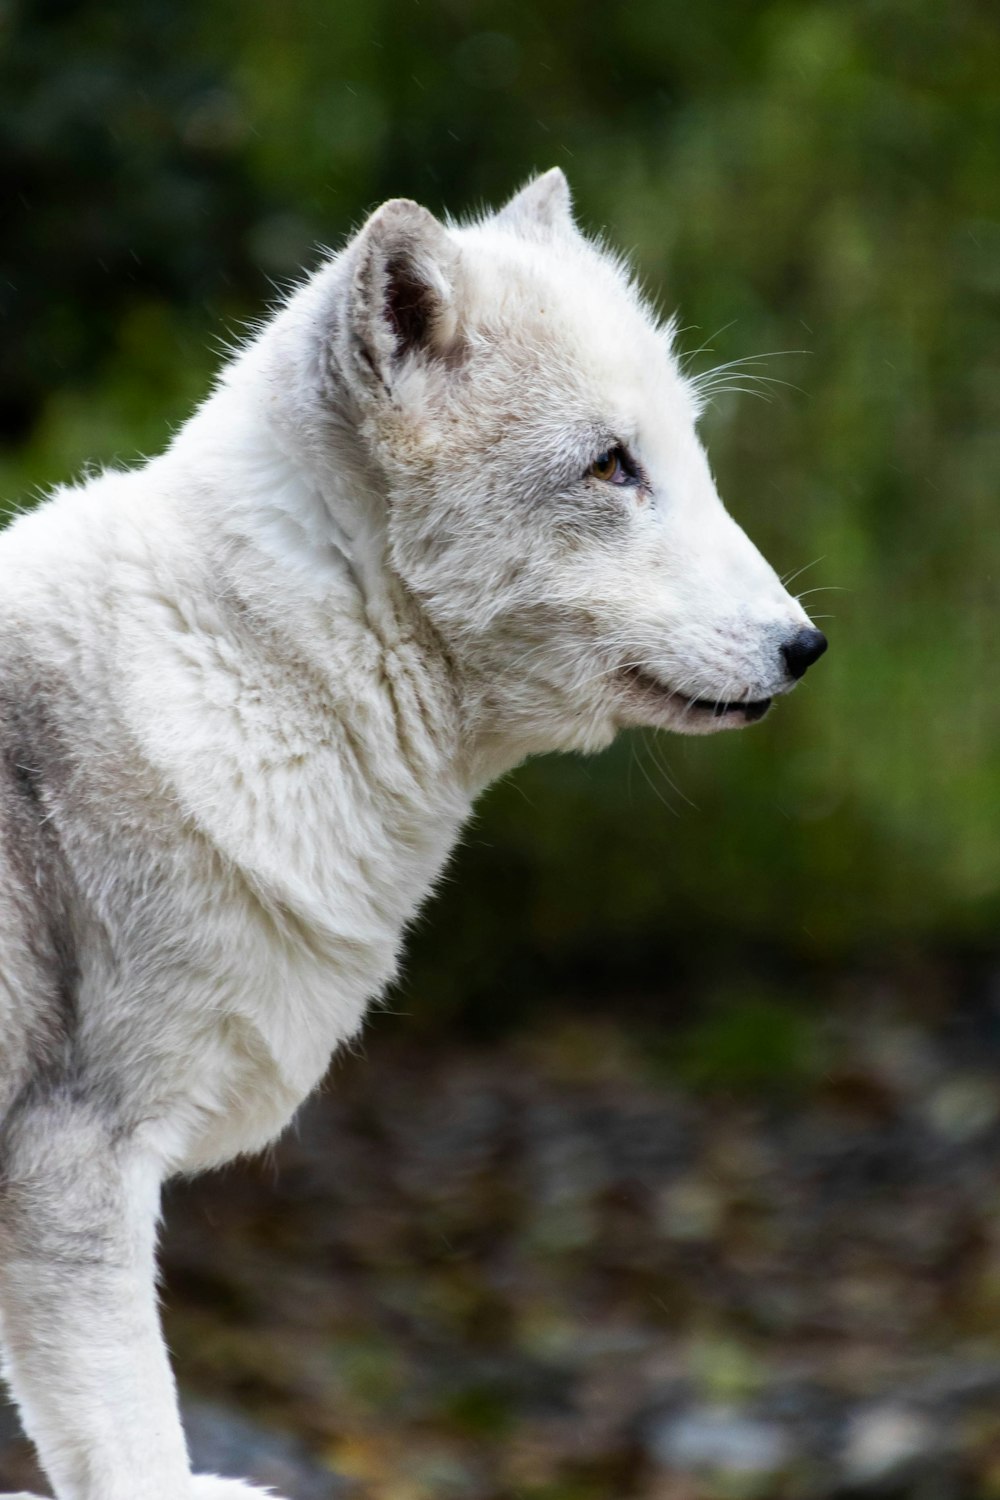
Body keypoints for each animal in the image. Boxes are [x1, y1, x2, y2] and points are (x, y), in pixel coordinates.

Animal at [0, 170, 827, 1494]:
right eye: (612, 468)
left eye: (685, 454)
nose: (805, 647)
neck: (248, 672)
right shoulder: (74, 1165)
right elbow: (137, 1454)